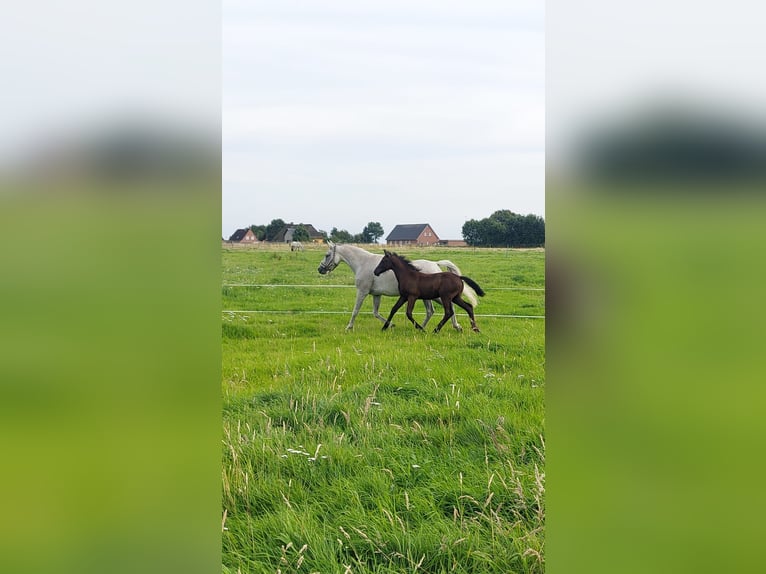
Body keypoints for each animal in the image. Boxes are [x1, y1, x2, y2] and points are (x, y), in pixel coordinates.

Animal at [316, 242, 474, 332]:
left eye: (327, 255)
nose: (320, 269)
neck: (362, 263)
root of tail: (435, 264)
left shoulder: (362, 291)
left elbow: (355, 311)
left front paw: (349, 327)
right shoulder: (376, 294)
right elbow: (375, 313)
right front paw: (390, 325)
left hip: (437, 297)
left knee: (450, 309)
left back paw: (456, 327)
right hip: (428, 298)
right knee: (431, 311)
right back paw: (422, 327)